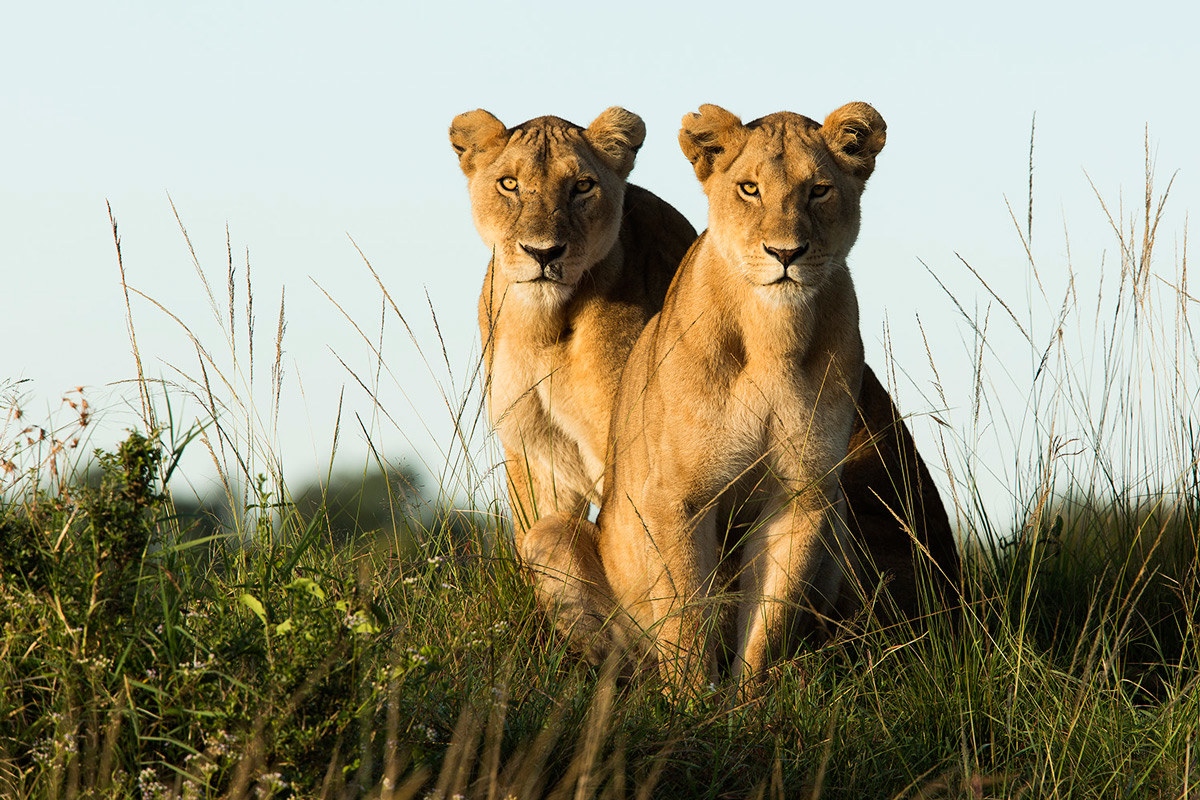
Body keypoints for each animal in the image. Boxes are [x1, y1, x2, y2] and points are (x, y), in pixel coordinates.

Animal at [449, 108, 697, 646]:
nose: (543, 253)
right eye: (508, 183)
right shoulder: (534, 449)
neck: (543, 324)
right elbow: (531, 534)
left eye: (582, 186)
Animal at [531, 102, 960, 689]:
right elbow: (687, 613)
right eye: (750, 189)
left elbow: (768, 619)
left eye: (819, 190)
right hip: (550, 538)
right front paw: (691, 700)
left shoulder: (803, 494)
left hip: (841, 514)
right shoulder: (678, 497)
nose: (786, 253)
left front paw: (745, 699)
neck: (772, 335)